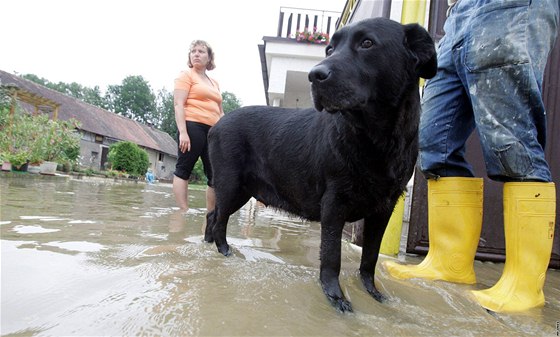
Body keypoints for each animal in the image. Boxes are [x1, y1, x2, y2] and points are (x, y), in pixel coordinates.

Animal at [206, 17, 438, 312]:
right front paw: (335, 297)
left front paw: (372, 292)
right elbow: (332, 256)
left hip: (240, 190)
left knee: (212, 216)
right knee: (218, 219)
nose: (314, 75)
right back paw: (224, 251)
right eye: (329, 49)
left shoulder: (384, 208)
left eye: (367, 43)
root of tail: (216, 125)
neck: (376, 140)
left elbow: (370, 257)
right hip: (231, 184)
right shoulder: (334, 202)